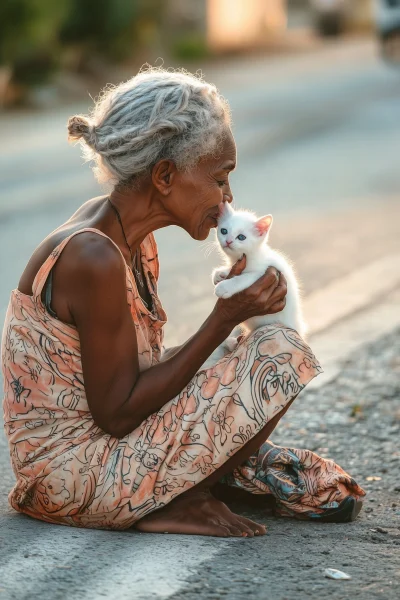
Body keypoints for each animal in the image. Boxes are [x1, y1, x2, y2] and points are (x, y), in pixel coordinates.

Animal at [202, 203, 304, 370]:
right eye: (224, 231)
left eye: (241, 237)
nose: (228, 241)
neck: (250, 256)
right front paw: (220, 274)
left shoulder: (265, 271)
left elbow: (243, 278)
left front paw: (224, 287)